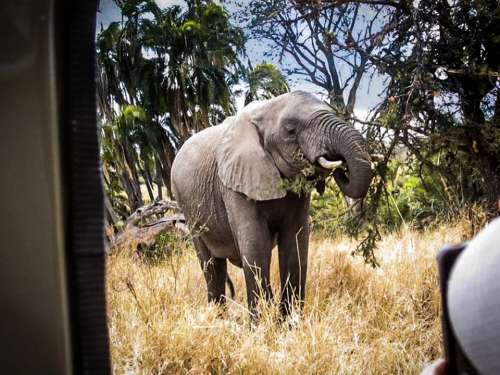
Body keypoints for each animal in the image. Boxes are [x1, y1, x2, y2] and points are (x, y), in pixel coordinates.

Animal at [172, 91, 376, 318]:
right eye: (290, 130)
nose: (340, 165)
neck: (265, 109)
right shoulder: (235, 182)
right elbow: (256, 245)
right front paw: (262, 323)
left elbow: (295, 243)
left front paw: (289, 323)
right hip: (188, 210)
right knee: (212, 266)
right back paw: (218, 320)